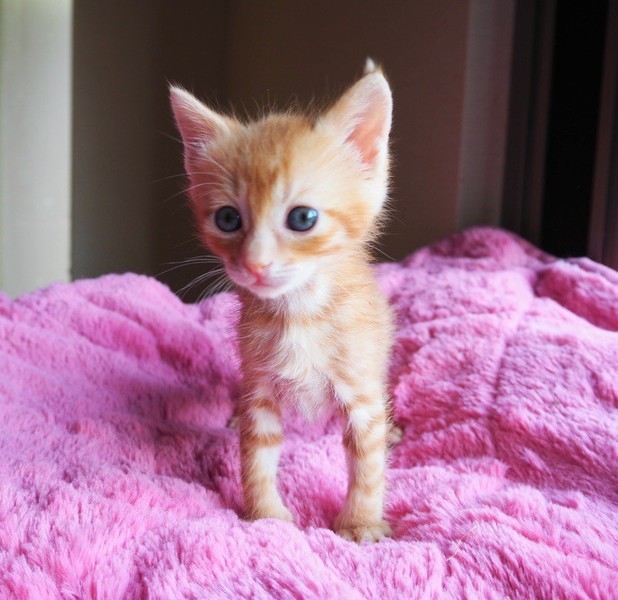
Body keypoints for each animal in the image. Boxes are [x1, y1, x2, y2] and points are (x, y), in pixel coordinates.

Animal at [170, 59, 399, 542]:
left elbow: (367, 462)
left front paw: (361, 523)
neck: (300, 314)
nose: (255, 265)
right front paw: (266, 517)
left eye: (303, 218)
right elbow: (257, 455)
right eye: (227, 218)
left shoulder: (361, 392)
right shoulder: (259, 389)